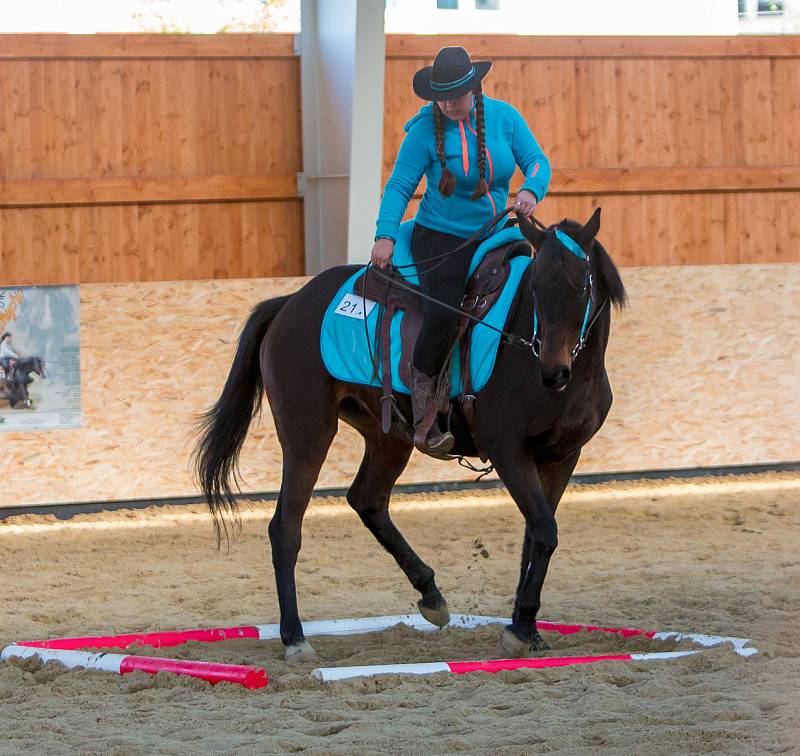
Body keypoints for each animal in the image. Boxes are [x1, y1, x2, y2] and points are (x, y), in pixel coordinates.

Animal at [192, 208, 624, 660]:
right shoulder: (508, 451)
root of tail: (290, 302)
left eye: (582, 286)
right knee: (285, 527)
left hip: (389, 437)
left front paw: (528, 627)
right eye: (536, 287)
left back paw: (431, 595)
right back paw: (295, 637)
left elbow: (535, 536)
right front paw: (521, 629)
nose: (553, 370)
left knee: (368, 500)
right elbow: (543, 529)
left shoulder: (562, 456)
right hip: (307, 431)